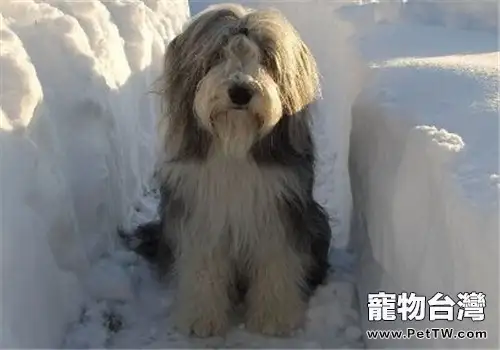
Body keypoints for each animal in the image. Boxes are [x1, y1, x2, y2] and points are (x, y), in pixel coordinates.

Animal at [152, 3, 332, 340]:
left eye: (265, 58)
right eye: (217, 55)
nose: (240, 91)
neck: (234, 142)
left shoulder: (280, 212)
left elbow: (277, 259)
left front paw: (274, 318)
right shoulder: (203, 216)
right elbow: (204, 263)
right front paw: (202, 319)